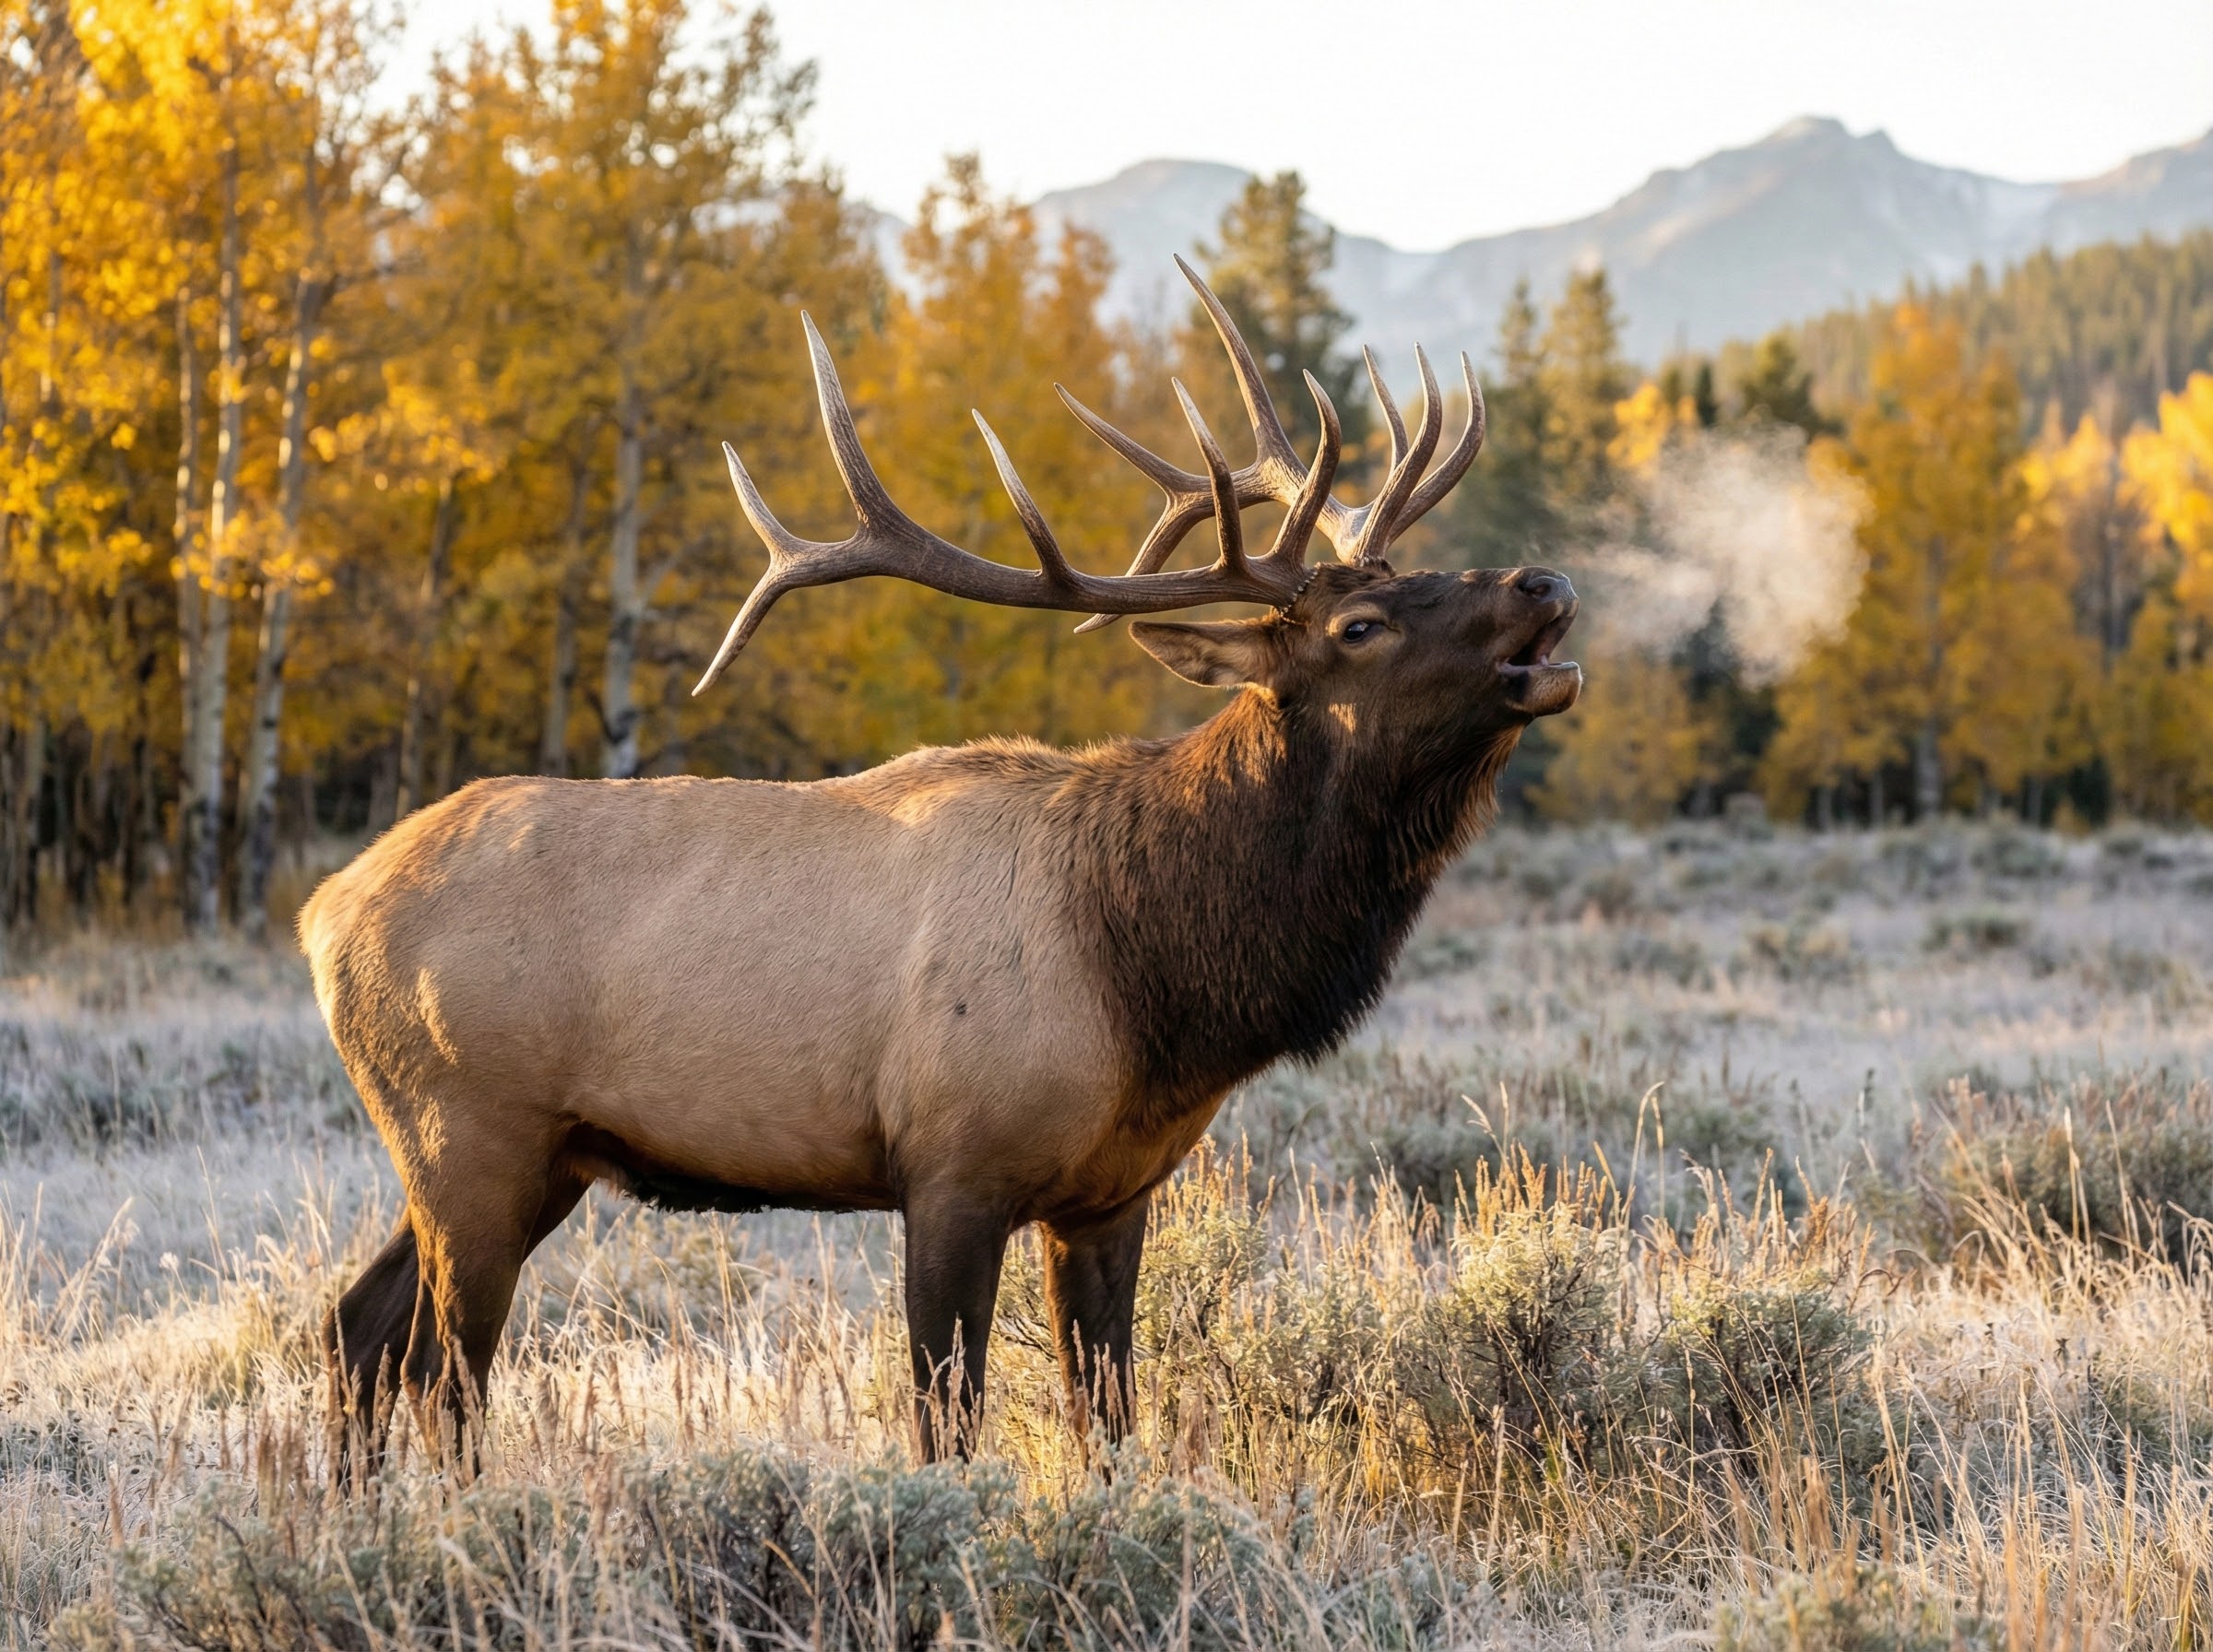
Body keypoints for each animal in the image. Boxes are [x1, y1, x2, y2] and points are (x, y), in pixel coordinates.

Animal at [300, 258, 1580, 1468]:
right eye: (1360, 627)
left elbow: (1110, 1415)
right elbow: (946, 1419)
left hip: (529, 1155)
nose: (1547, 581)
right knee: (443, 1372)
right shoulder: (952, 1166)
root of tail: (324, 911)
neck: (1158, 984)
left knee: (357, 1327)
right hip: (468, 1127)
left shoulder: (1113, 1192)